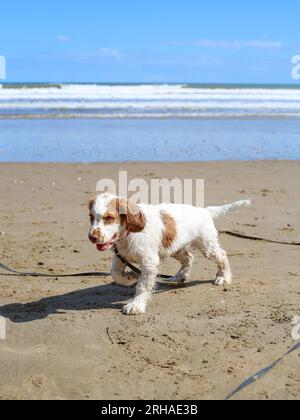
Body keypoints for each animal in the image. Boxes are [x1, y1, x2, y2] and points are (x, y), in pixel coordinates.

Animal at [88, 194, 250, 316]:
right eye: (91, 217)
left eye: (109, 218)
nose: (92, 237)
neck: (127, 236)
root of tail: (204, 211)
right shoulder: (120, 256)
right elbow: (115, 274)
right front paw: (130, 277)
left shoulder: (149, 262)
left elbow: (142, 286)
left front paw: (136, 305)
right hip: (175, 247)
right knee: (188, 258)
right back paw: (179, 276)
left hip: (206, 246)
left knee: (221, 255)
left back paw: (223, 277)